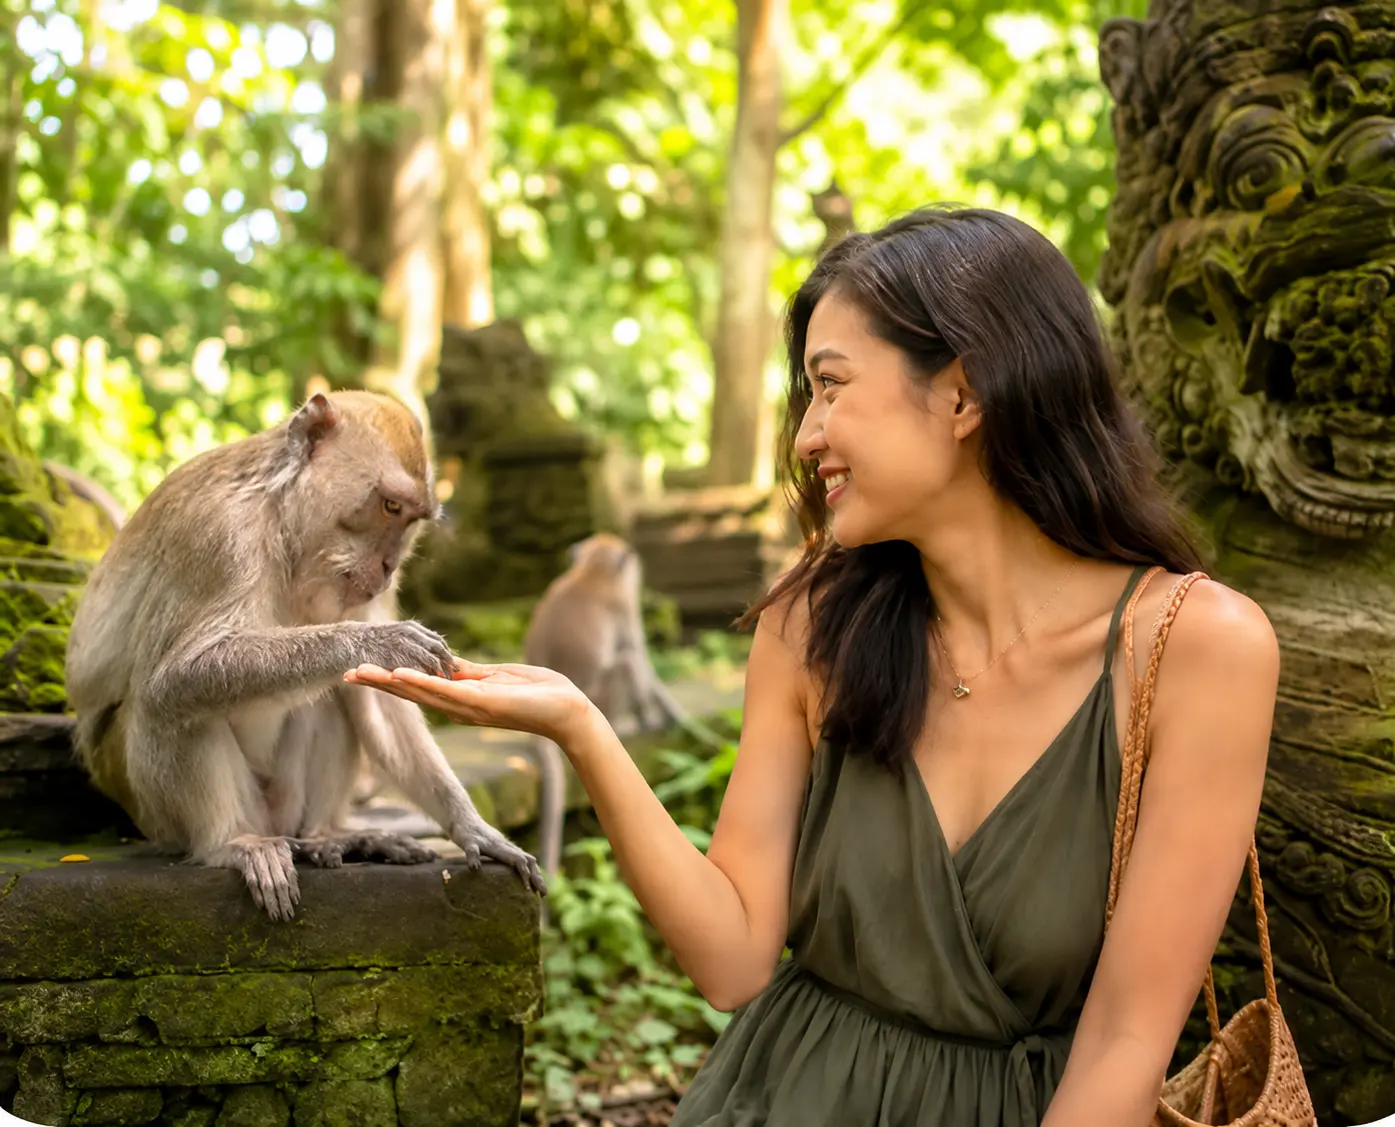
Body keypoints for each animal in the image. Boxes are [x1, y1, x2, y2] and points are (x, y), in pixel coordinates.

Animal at [64, 390, 545, 921]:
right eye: (389, 505)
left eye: (410, 519)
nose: (388, 566)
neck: (282, 525)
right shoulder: (217, 536)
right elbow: (176, 675)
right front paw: (376, 641)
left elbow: (382, 701)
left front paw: (469, 825)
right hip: (155, 809)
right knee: (165, 705)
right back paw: (233, 843)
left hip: (284, 804)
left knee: (332, 697)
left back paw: (326, 838)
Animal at [522, 532, 711, 880]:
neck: (591, 573)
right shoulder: (624, 608)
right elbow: (643, 663)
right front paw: (673, 716)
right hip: (604, 700)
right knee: (627, 664)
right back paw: (638, 722)